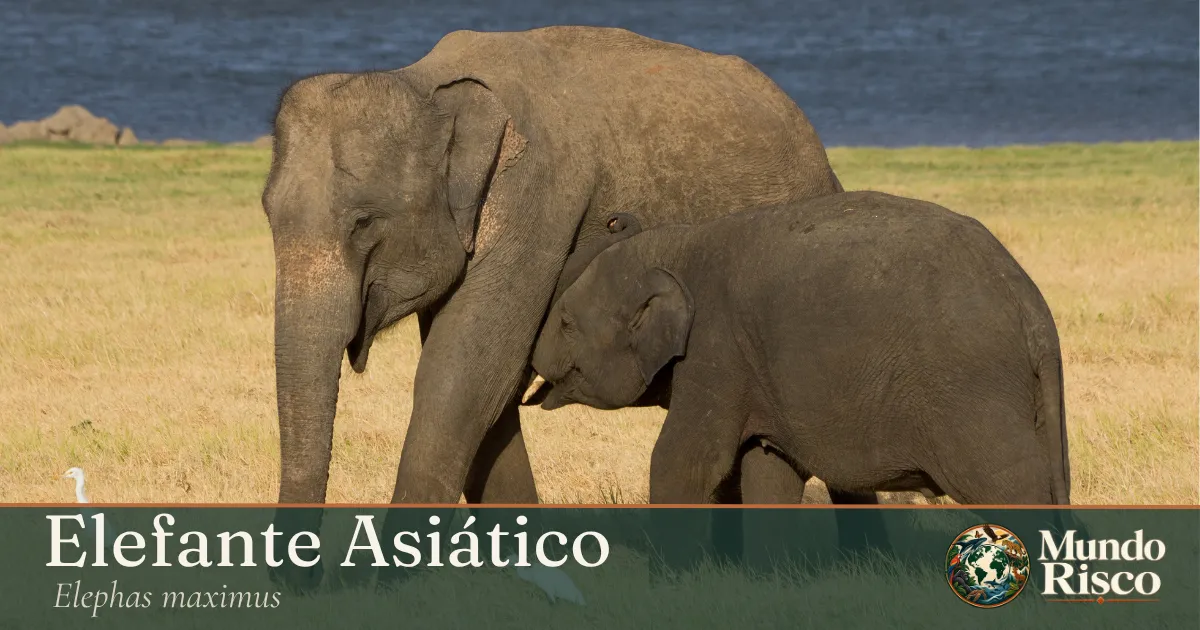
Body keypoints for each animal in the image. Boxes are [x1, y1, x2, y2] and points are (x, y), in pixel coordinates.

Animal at [261, 26, 843, 589]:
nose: (306, 576)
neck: (430, 84)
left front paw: (386, 582)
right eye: (267, 212)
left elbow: (463, 376)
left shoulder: (536, 203)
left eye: (364, 221)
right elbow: (492, 390)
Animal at [528, 191, 1072, 513]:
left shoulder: (714, 350)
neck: (675, 244)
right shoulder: (753, 370)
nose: (614, 218)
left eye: (566, 324)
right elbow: (768, 469)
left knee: (1010, 485)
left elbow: (685, 461)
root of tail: (1029, 303)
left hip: (971, 393)